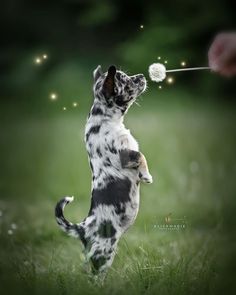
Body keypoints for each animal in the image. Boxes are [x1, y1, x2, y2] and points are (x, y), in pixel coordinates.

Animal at [54, 65, 153, 278]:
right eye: (126, 80)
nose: (142, 76)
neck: (106, 120)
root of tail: (82, 228)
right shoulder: (125, 154)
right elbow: (141, 155)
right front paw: (147, 176)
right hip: (104, 252)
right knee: (95, 274)